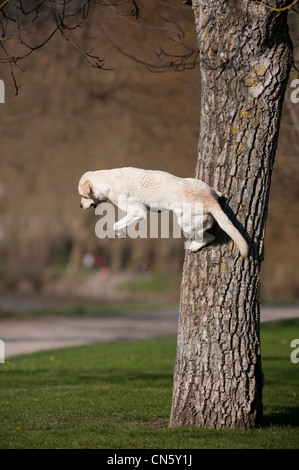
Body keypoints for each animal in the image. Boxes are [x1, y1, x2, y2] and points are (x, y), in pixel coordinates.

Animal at [78, 167, 250, 258]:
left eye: (83, 196)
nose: (80, 206)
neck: (108, 180)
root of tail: (210, 200)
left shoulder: (138, 212)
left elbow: (115, 225)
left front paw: (120, 233)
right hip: (196, 184)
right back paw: (218, 193)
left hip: (185, 223)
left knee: (209, 237)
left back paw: (195, 245)